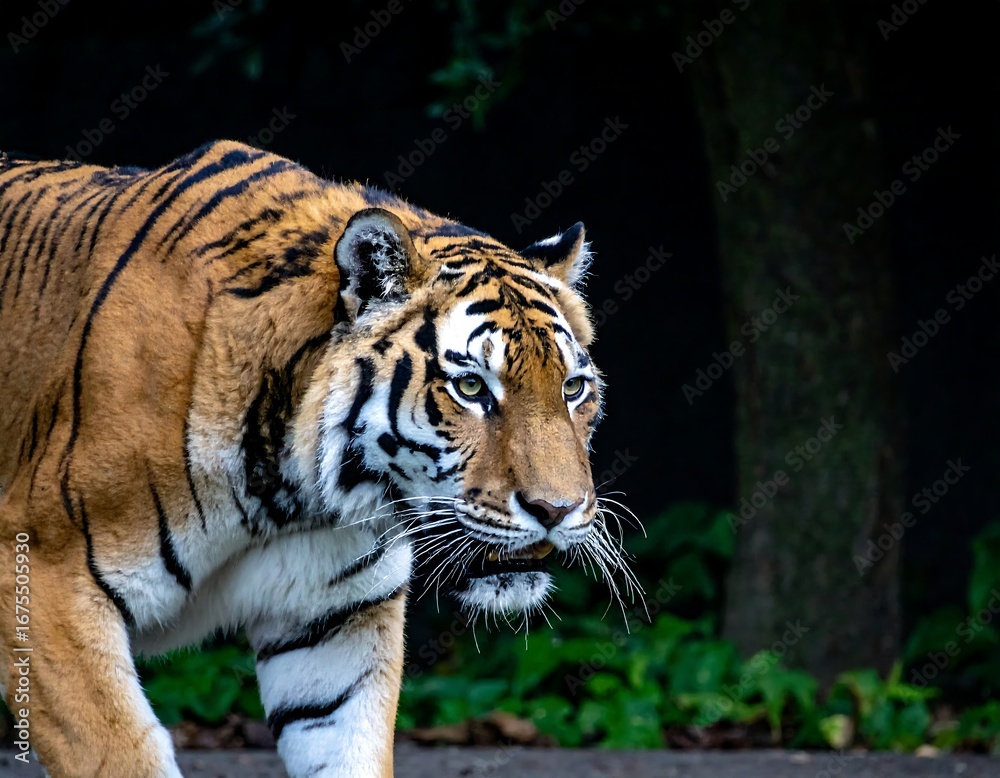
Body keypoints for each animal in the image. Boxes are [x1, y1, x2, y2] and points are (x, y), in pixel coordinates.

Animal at [0, 140, 629, 777]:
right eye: (472, 387)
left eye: (573, 388)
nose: (557, 510)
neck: (292, 495)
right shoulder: (48, 583)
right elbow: (120, 754)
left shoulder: (334, 624)